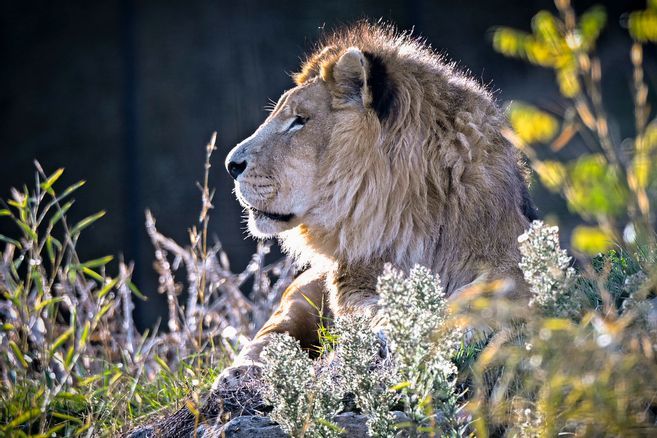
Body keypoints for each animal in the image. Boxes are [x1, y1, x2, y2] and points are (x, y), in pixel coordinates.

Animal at [218, 23, 536, 386]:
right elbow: (368, 309)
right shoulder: (353, 283)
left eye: (299, 120)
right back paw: (239, 373)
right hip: (301, 294)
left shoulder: (512, 260)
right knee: (273, 334)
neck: (413, 210)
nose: (230, 165)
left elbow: (481, 294)